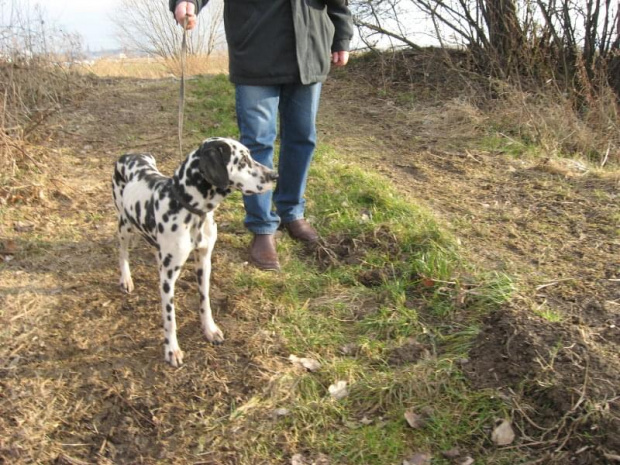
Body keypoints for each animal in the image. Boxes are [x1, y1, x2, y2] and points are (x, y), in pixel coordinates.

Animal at [112, 137, 278, 366]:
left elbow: (204, 300)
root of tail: (129, 155)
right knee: (123, 253)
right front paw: (172, 350)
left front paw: (210, 329)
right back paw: (126, 278)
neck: (190, 211)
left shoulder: (204, 262)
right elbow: (170, 318)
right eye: (243, 160)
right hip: (124, 226)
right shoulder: (168, 278)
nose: (275, 175)